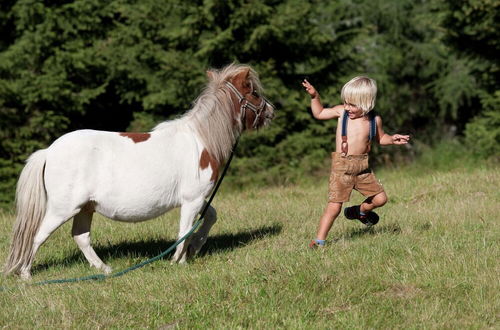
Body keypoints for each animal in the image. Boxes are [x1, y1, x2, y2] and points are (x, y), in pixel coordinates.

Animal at [3, 62, 274, 278]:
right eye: (254, 92)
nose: (272, 111)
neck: (201, 140)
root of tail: (48, 151)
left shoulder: (197, 199)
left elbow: (210, 217)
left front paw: (195, 248)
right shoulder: (192, 199)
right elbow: (185, 230)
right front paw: (179, 261)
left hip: (85, 207)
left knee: (81, 237)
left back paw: (104, 269)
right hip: (63, 208)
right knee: (38, 235)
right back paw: (26, 274)